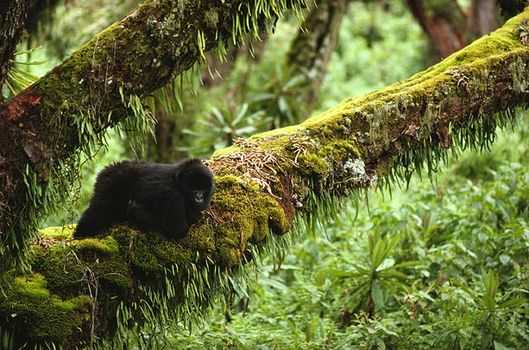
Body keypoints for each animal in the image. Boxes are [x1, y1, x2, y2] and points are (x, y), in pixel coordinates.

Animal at [73, 159, 214, 239]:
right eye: (193, 188)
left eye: (203, 189)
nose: (199, 197)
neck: (177, 182)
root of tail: (109, 169)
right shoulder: (174, 197)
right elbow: (177, 230)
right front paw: (136, 211)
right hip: (111, 184)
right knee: (100, 209)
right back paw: (81, 233)